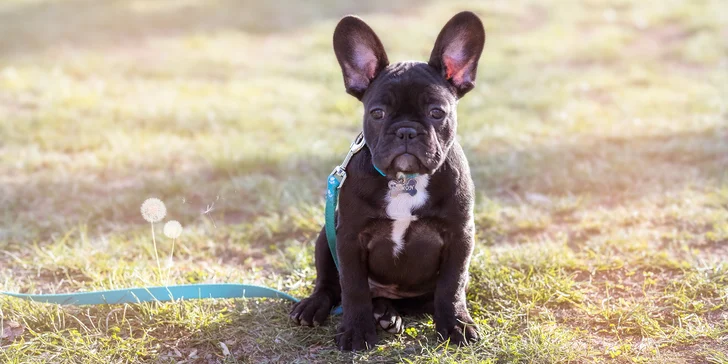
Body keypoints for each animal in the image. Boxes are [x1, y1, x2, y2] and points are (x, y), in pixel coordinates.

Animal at [288, 11, 484, 352]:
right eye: (377, 113)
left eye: (437, 112)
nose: (406, 130)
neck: (405, 180)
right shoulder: (349, 237)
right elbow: (353, 288)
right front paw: (356, 331)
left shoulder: (460, 235)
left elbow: (452, 285)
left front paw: (456, 325)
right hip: (325, 235)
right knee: (330, 285)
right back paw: (318, 306)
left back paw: (388, 314)